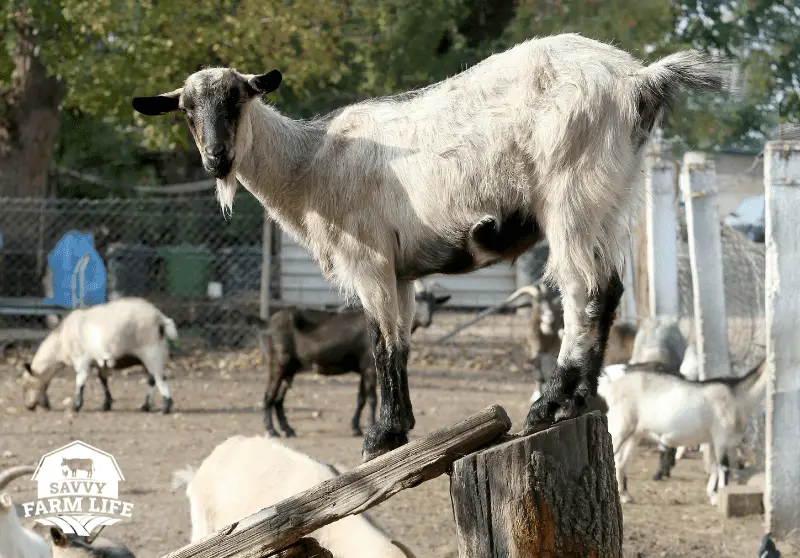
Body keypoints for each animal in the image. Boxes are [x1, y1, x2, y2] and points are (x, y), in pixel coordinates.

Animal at [258, 283, 450, 437]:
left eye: (434, 303)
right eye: (417, 299)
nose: (427, 320)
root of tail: (268, 323)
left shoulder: (363, 368)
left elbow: (361, 398)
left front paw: (355, 428)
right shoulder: (370, 367)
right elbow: (372, 398)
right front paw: (372, 425)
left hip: (291, 367)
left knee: (279, 399)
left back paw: (287, 429)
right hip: (278, 362)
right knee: (269, 396)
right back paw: (271, 430)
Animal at [599, 358, 767, 505]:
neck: (737, 396)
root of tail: (612, 388)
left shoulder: (713, 441)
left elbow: (714, 467)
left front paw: (712, 494)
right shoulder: (722, 438)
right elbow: (723, 468)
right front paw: (718, 497)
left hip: (635, 433)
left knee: (621, 461)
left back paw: (625, 496)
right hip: (619, 426)